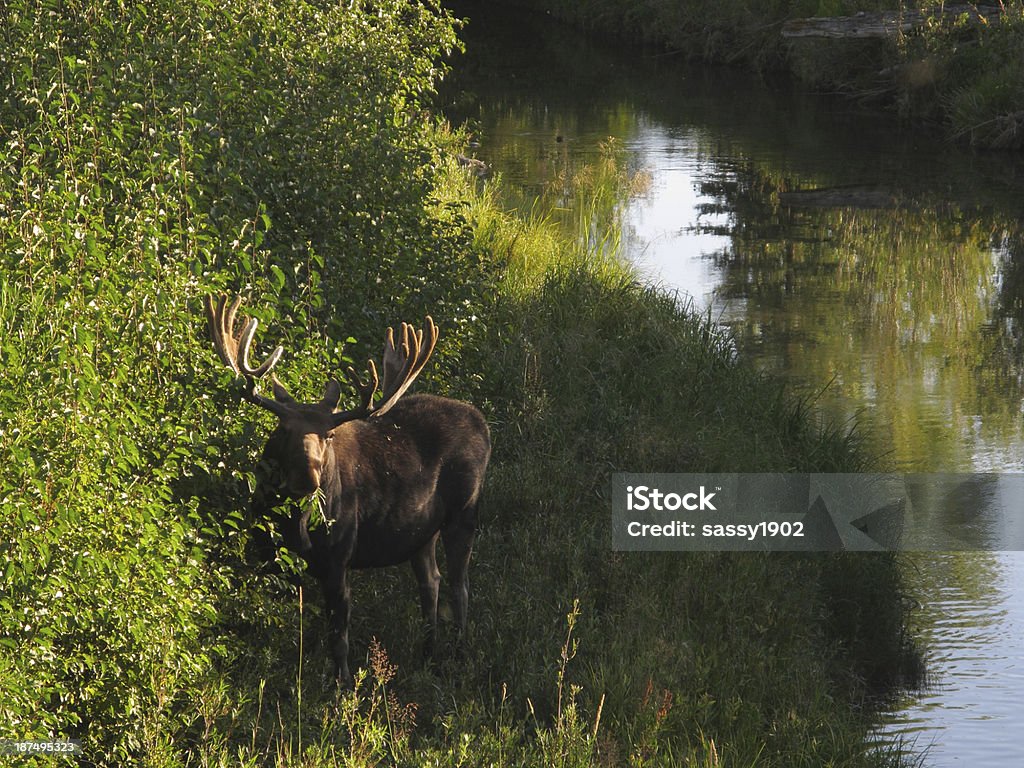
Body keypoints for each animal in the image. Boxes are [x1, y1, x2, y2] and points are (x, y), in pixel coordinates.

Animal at [204, 296, 491, 684]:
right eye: (283, 430)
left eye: (328, 435)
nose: (308, 477)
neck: (295, 525)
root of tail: (483, 423)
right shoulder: (264, 554)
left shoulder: (339, 557)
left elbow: (339, 635)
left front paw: (342, 685)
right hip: (420, 532)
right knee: (431, 581)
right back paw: (428, 653)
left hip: (464, 513)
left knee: (460, 586)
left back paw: (458, 653)